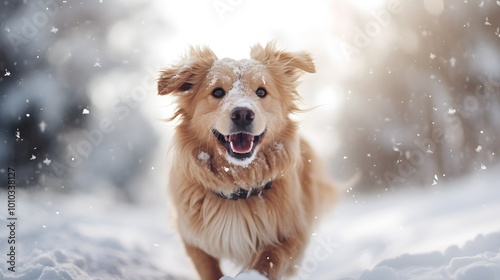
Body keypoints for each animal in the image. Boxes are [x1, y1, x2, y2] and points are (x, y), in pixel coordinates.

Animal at [158, 42, 338, 280]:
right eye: (217, 91)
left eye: (261, 91)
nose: (242, 113)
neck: (238, 183)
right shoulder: (191, 238)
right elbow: (208, 268)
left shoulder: (293, 233)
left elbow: (270, 257)